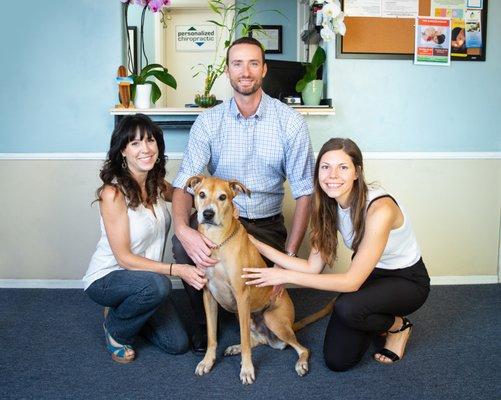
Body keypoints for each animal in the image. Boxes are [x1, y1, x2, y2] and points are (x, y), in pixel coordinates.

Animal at [184, 175, 332, 384]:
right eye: (201, 194)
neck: (217, 243)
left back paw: (301, 363)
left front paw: (247, 370)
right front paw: (207, 361)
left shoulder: (241, 295)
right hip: (243, 315)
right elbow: (212, 336)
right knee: (259, 340)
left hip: (271, 319)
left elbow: (245, 339)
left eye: (222, 197)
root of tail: (291, 325)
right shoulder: (208, 295)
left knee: (301, 348)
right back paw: (235, 348)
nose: (208, 214)